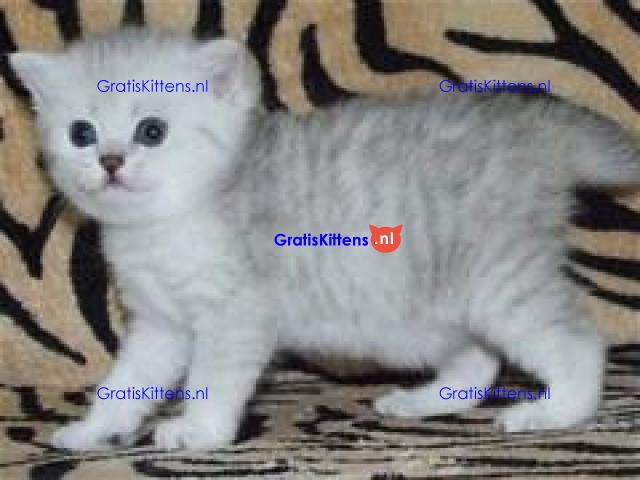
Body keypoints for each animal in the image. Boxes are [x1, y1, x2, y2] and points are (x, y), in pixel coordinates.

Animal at [10, 28, 640, 450]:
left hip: (496, 282)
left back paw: (554, 413)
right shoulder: (160, 325)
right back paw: (423, 401)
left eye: (151, 131)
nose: (110, 161)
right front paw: (93, 430)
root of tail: (532, 127)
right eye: (81, 133)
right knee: (478, 364)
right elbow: (126, 384)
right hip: (430, 309)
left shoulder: (235, 314)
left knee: (580, 345)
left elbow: (210, 380)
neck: (172, 218)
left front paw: (198, 431)